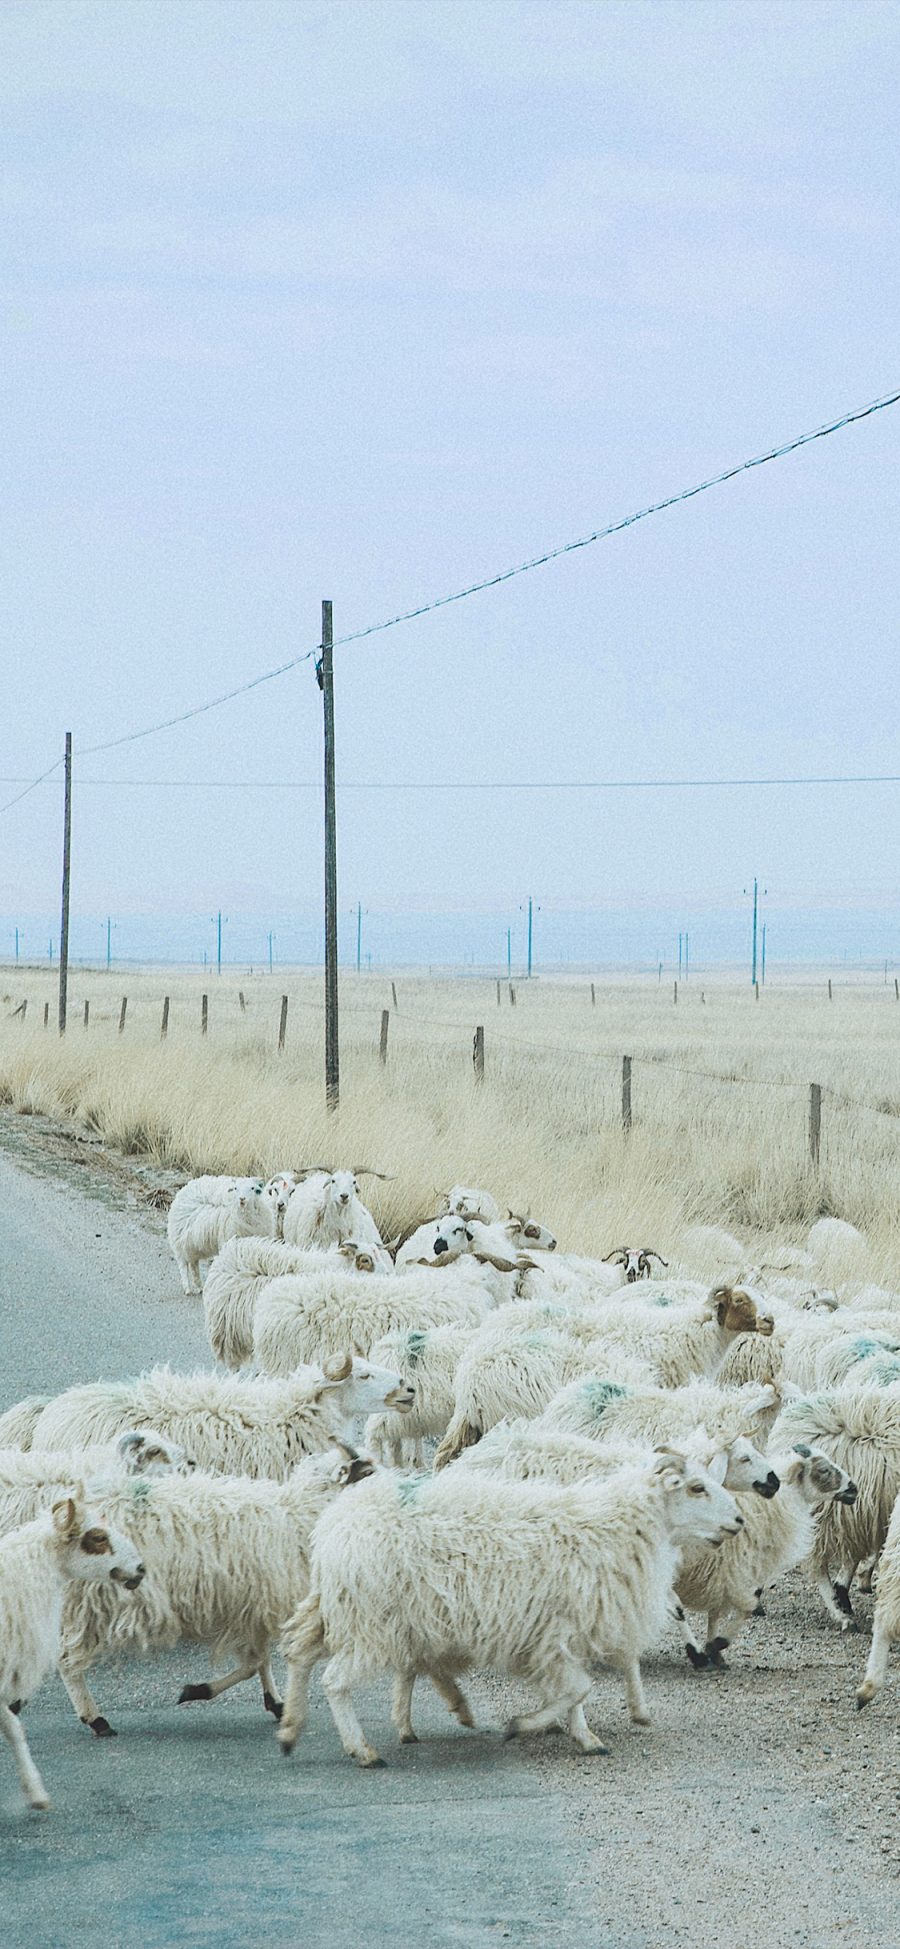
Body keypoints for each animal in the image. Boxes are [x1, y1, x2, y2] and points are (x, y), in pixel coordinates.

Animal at [55, 1450, 372, 1738]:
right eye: (364, 1472)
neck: (297, 1514)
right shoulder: (250, 1607)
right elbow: (252, 1663)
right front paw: (196, 1691)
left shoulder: (252, 1606)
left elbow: (259, 1661)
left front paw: (274, 1701)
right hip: (94, 1604)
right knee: (67, 1660)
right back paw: (95, 1718)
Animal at [278, 1450, 740, 1769]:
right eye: (697, 1487)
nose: (737, 1521)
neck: (617, 1527)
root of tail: (337, 1523)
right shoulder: (556, 1632)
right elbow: (577, 1689)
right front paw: (523, 1725)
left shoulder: (562, 1635)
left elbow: (575, 1692)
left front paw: (585, 1737)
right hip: (371, 1621)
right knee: (335, 1681)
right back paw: (362, 1750)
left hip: (338, 1608)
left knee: (299, 1652)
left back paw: (290, 1728)